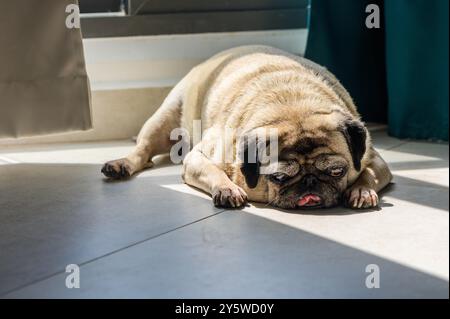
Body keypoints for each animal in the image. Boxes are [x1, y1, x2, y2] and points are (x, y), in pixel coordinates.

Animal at [102, 45, 390, 210]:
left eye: (336, 171)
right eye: (278, 177)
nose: (310, 183)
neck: (291, 103)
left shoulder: (375, 159)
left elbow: (367, 174)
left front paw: (361, 190)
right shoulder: (198, 157)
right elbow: (214, 171)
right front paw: (227, 188)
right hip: (164, 120)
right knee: (142, 151)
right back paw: (121, 165)